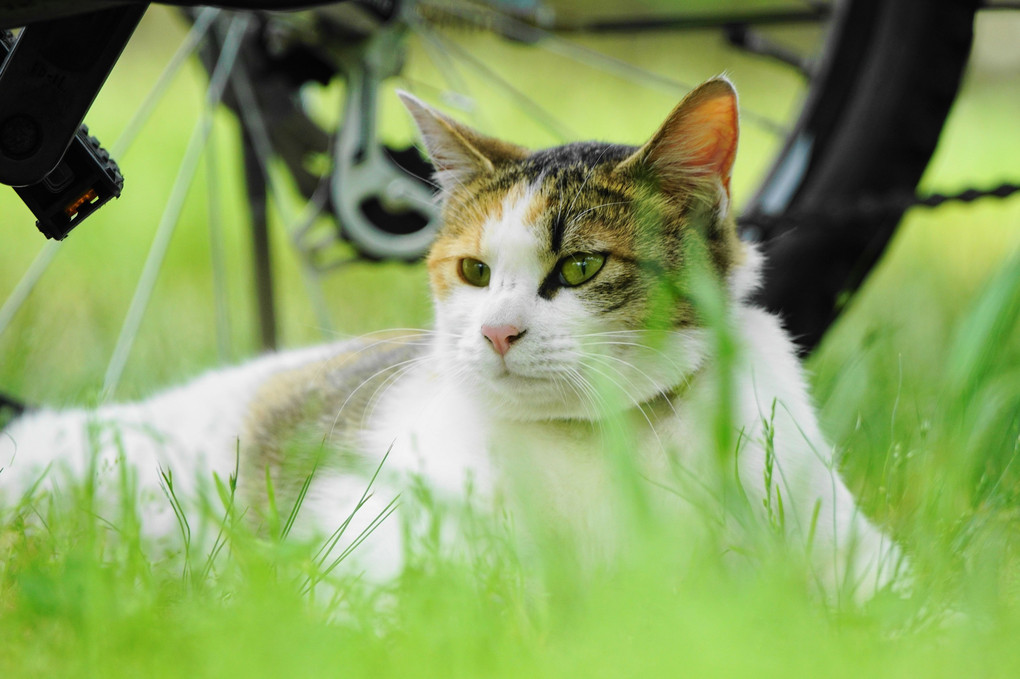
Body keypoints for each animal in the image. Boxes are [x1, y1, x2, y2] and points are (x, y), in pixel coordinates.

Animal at [0, 76, 901, 599]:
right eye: (472, 271)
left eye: (580, 266)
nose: (498, 332)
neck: (601, 442)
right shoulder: (372, 544)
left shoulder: (857, 553)